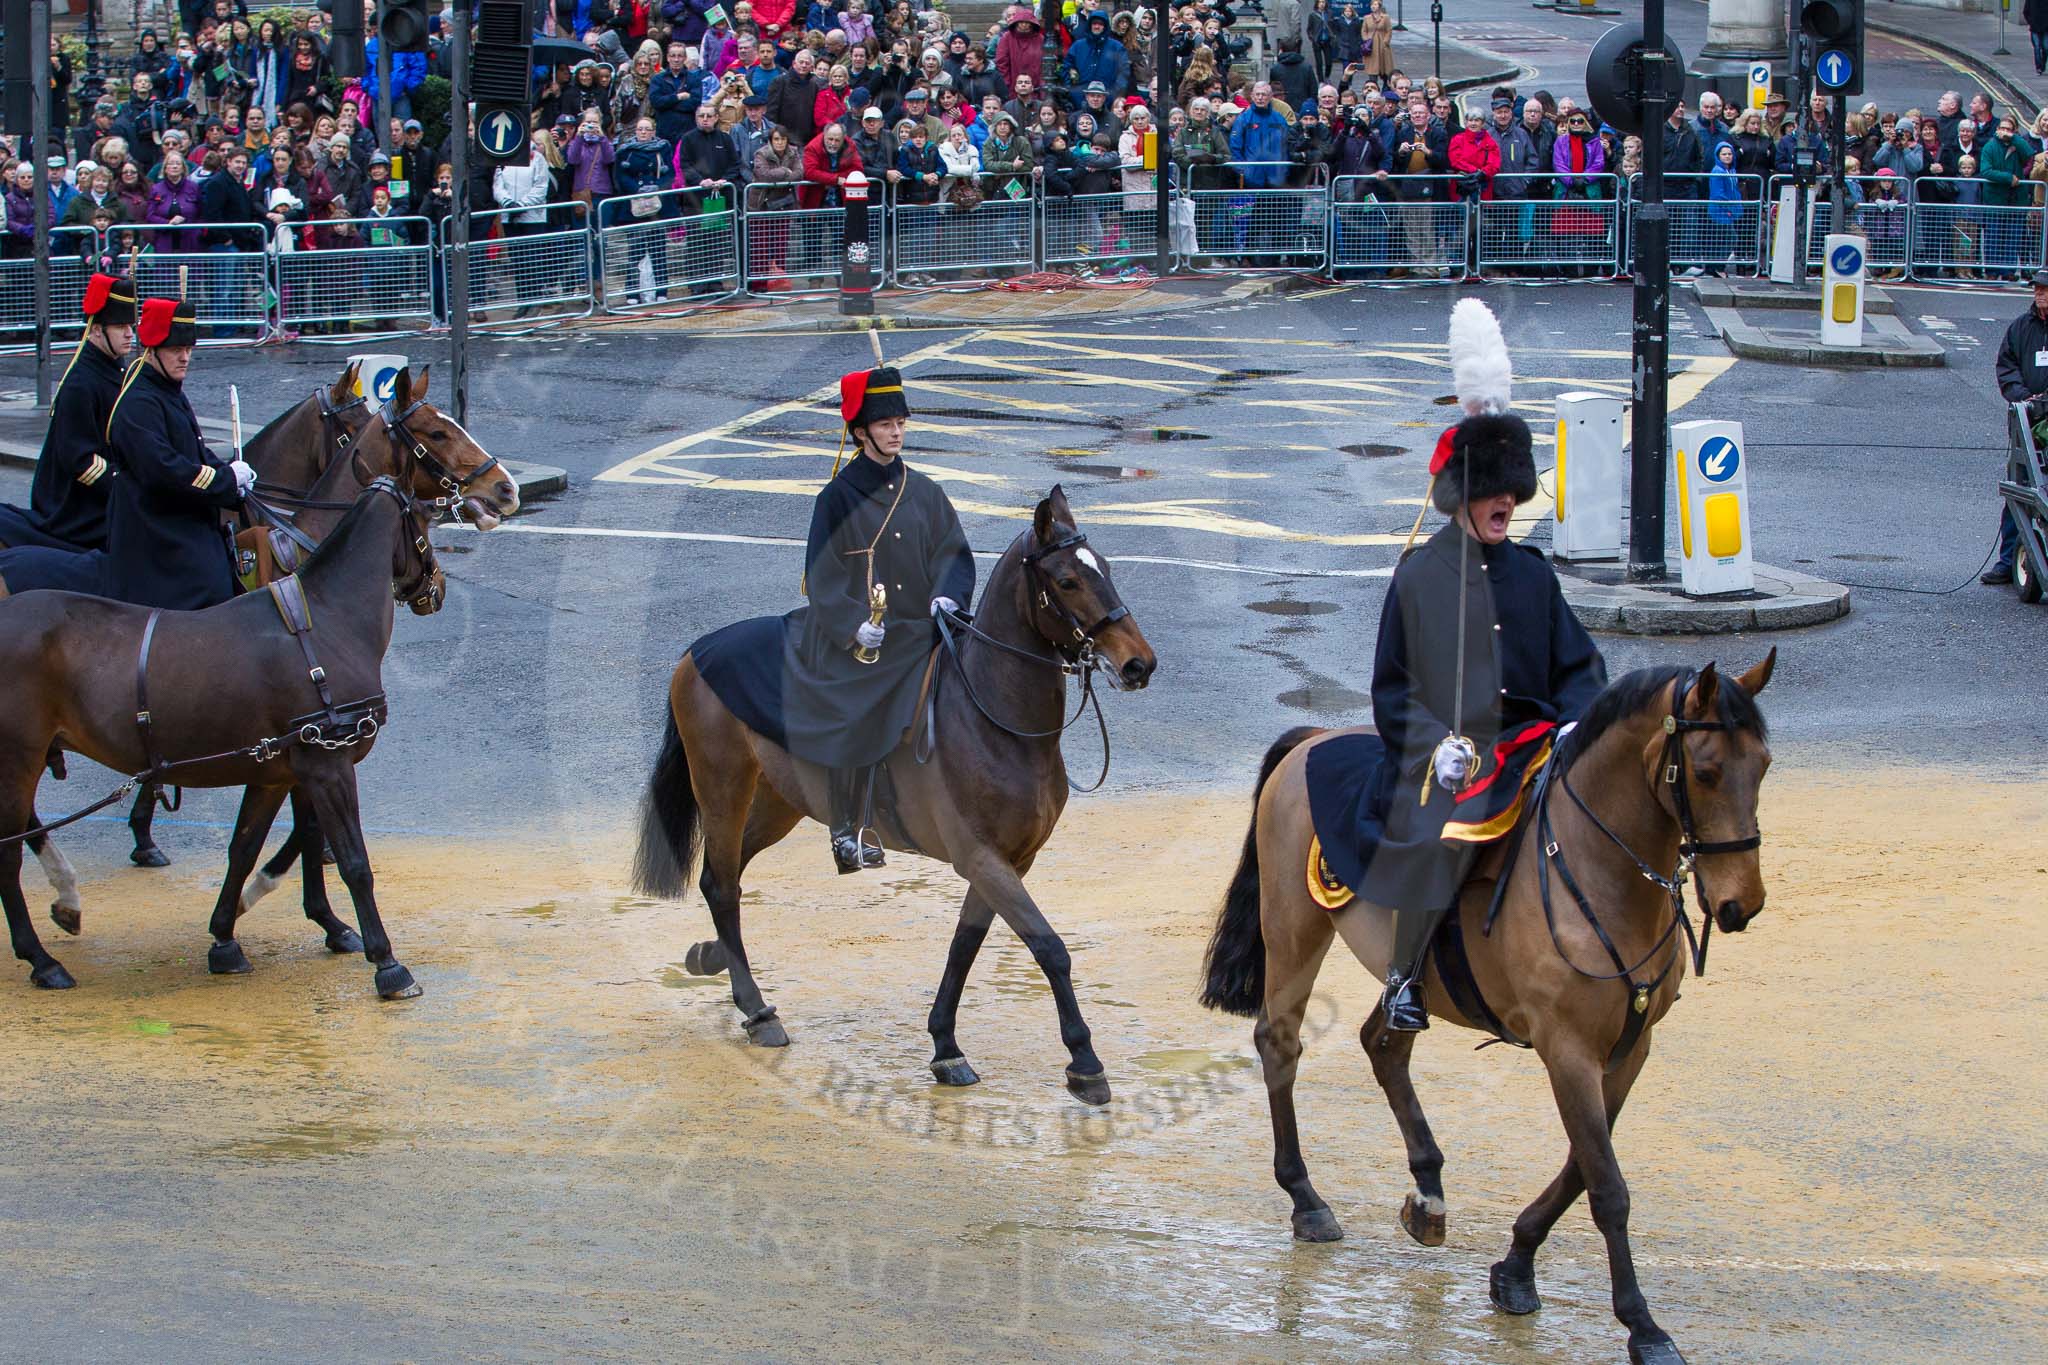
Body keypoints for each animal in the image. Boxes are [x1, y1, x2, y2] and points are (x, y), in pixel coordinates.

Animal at [630, 485, 1163, 1105]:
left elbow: (965, 946)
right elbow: (1048, 946)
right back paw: (758, 1010)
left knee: (726, 877)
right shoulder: (982, 857)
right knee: (722, 882)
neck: (995, 719)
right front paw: (1084, 1061)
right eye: (1068, 580)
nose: (1138, 664)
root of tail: (700, 648)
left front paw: (945, 1046)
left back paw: (716, 959)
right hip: (723, 789)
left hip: (779, 804)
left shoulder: (1009, 861)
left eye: (1106, 570)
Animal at [1196, 654, 1777, 1358]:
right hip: (1294, 930)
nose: (1741, 903)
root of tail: (1314, 738)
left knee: (1383, 1043)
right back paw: (1306, 1198)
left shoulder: (1629, 1048)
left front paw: (1516, 1266)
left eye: (1765, 765)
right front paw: (1642, 1324)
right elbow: (1607, 1186)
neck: (1603, 875)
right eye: (1706, 770)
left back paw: (1428, 1193)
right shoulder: (1567, 1049)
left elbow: (1583, 1165)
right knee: (1281, 1043)